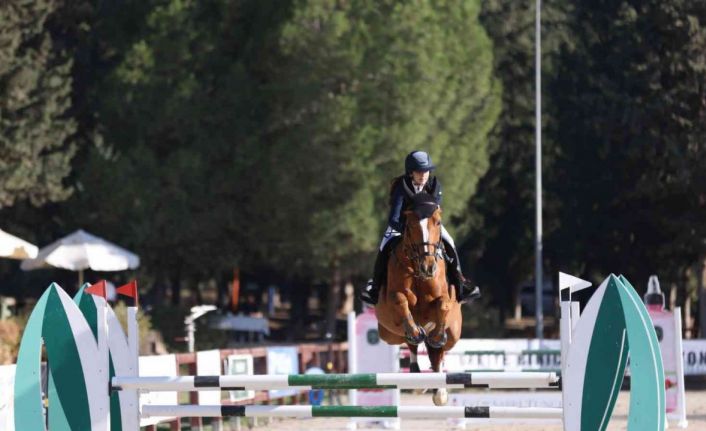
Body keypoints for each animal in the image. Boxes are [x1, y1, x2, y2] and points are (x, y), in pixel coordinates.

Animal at [374, 192, 462, 404]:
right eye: (410, 225)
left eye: (437, 222)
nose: (428, 267)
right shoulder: (394, 298)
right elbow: (401, 301)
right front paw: (415, 331)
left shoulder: (443, 298)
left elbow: (443, 304)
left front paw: (437, 335)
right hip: (389, 334)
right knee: (412, 345)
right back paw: (417, 374)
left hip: (454, 334)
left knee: (439, 353)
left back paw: (440, 391)